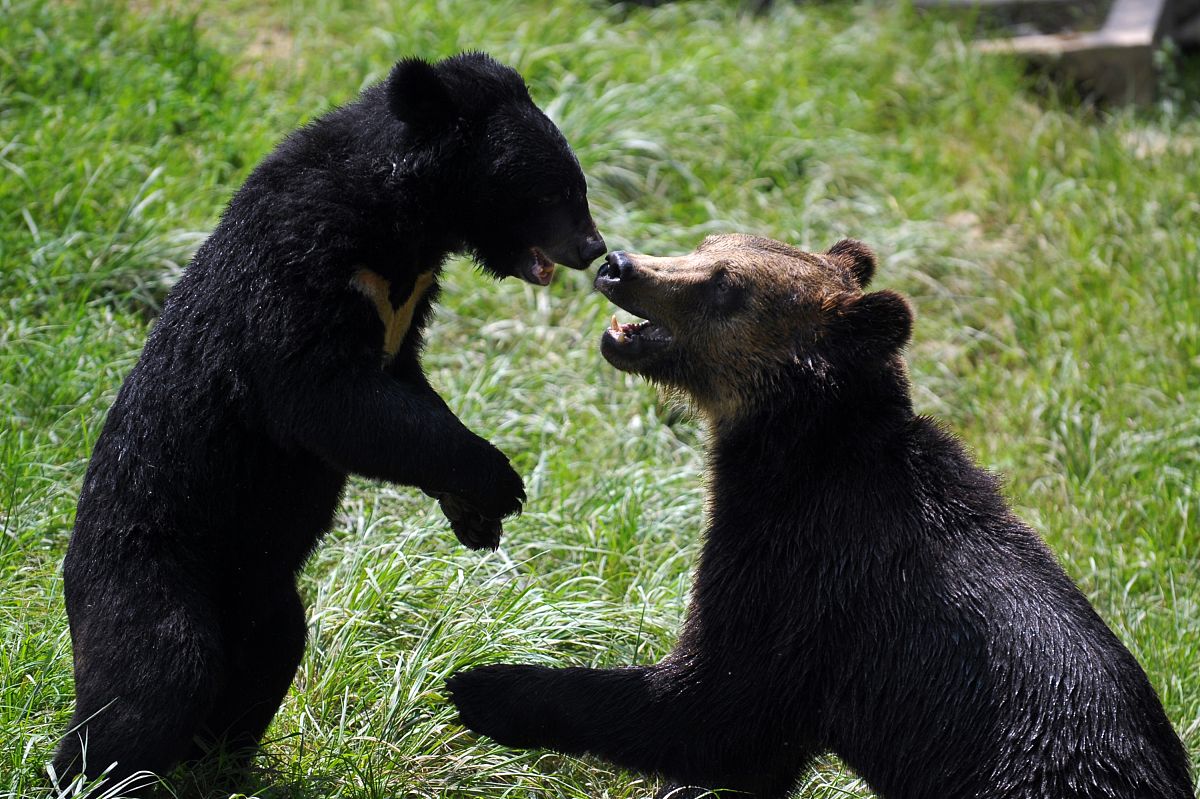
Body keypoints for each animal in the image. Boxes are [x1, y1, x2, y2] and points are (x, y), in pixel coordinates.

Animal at [53, 51, 606, 786]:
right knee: (156, 678)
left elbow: (408, 396)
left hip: (261, 595)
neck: (407, 228)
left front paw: (475, 519)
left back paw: (219, 770)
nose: (596, 250)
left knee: (269, 656)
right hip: (147, 569)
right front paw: (499, 482)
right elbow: (325, 397)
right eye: (553, 194)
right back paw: (81, 775)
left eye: (576, 187)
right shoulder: (302, 263)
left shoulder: (408, 301)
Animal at [447, 234, 1194, 799]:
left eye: (726, 285)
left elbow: (716, 717)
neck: (799, 457)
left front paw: (486, 686)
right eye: (708, 241)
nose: (619, 264)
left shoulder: (803, 587)